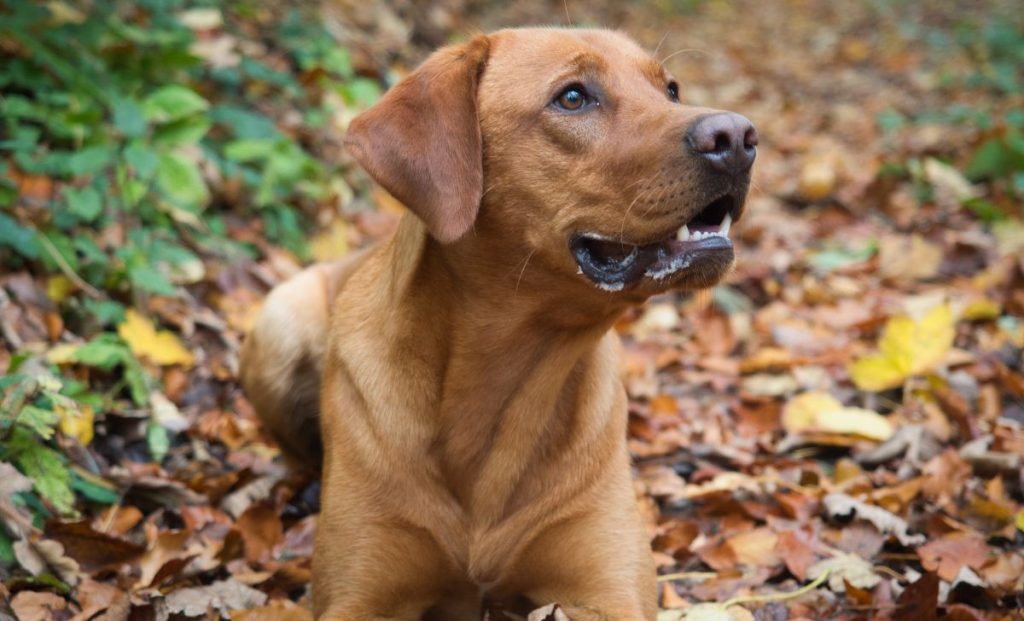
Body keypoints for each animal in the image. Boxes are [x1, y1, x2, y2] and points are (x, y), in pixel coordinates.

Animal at [237, 26, 753, 618]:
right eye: (572, 97)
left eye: (670, 89)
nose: (738, 137)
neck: (504, 383)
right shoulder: (357, 594)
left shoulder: (610, 589)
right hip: (280, 320)